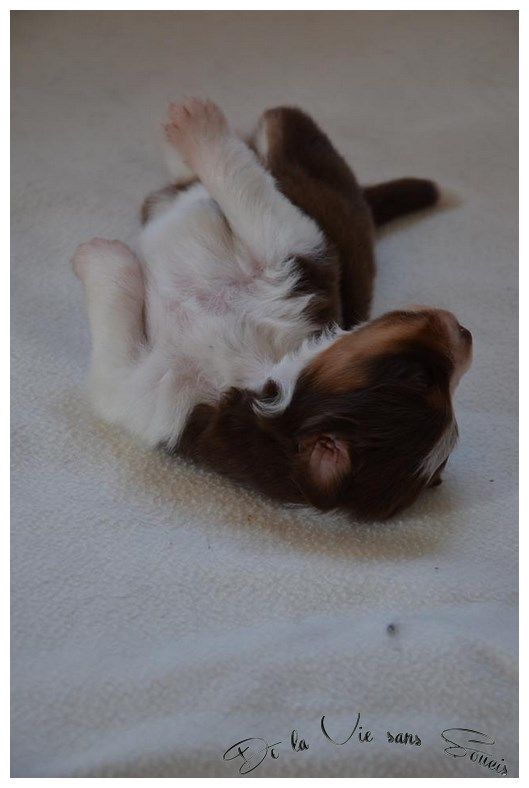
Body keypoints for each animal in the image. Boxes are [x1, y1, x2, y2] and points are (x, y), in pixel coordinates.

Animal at [73, 99, 472, 520]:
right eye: (419, 377)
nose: (466, 333)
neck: (249, 364)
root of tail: (363, 200)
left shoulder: (287, 239)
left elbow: (242, 183)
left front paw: (97, 253)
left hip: (292, 130)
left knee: (260, 145)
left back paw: (188, 124)